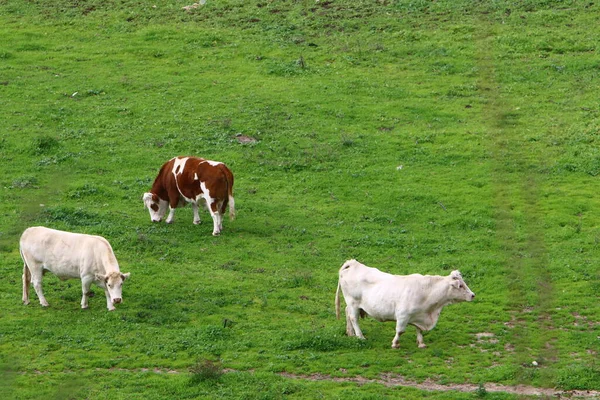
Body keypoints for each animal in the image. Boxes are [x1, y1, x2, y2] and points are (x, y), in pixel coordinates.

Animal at [336, 260, 476, 348]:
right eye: (460, 285)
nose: (473, 295)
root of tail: (352, 263)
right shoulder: (403, 315)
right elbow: (400, 331)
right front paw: (395, 344)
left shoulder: (419, 314)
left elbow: (419, 330)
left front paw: (421, 343)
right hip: (353, 302)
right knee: (354, 318)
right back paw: (360, 337)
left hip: (351, 304)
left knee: (347, 313)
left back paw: (350, 333)